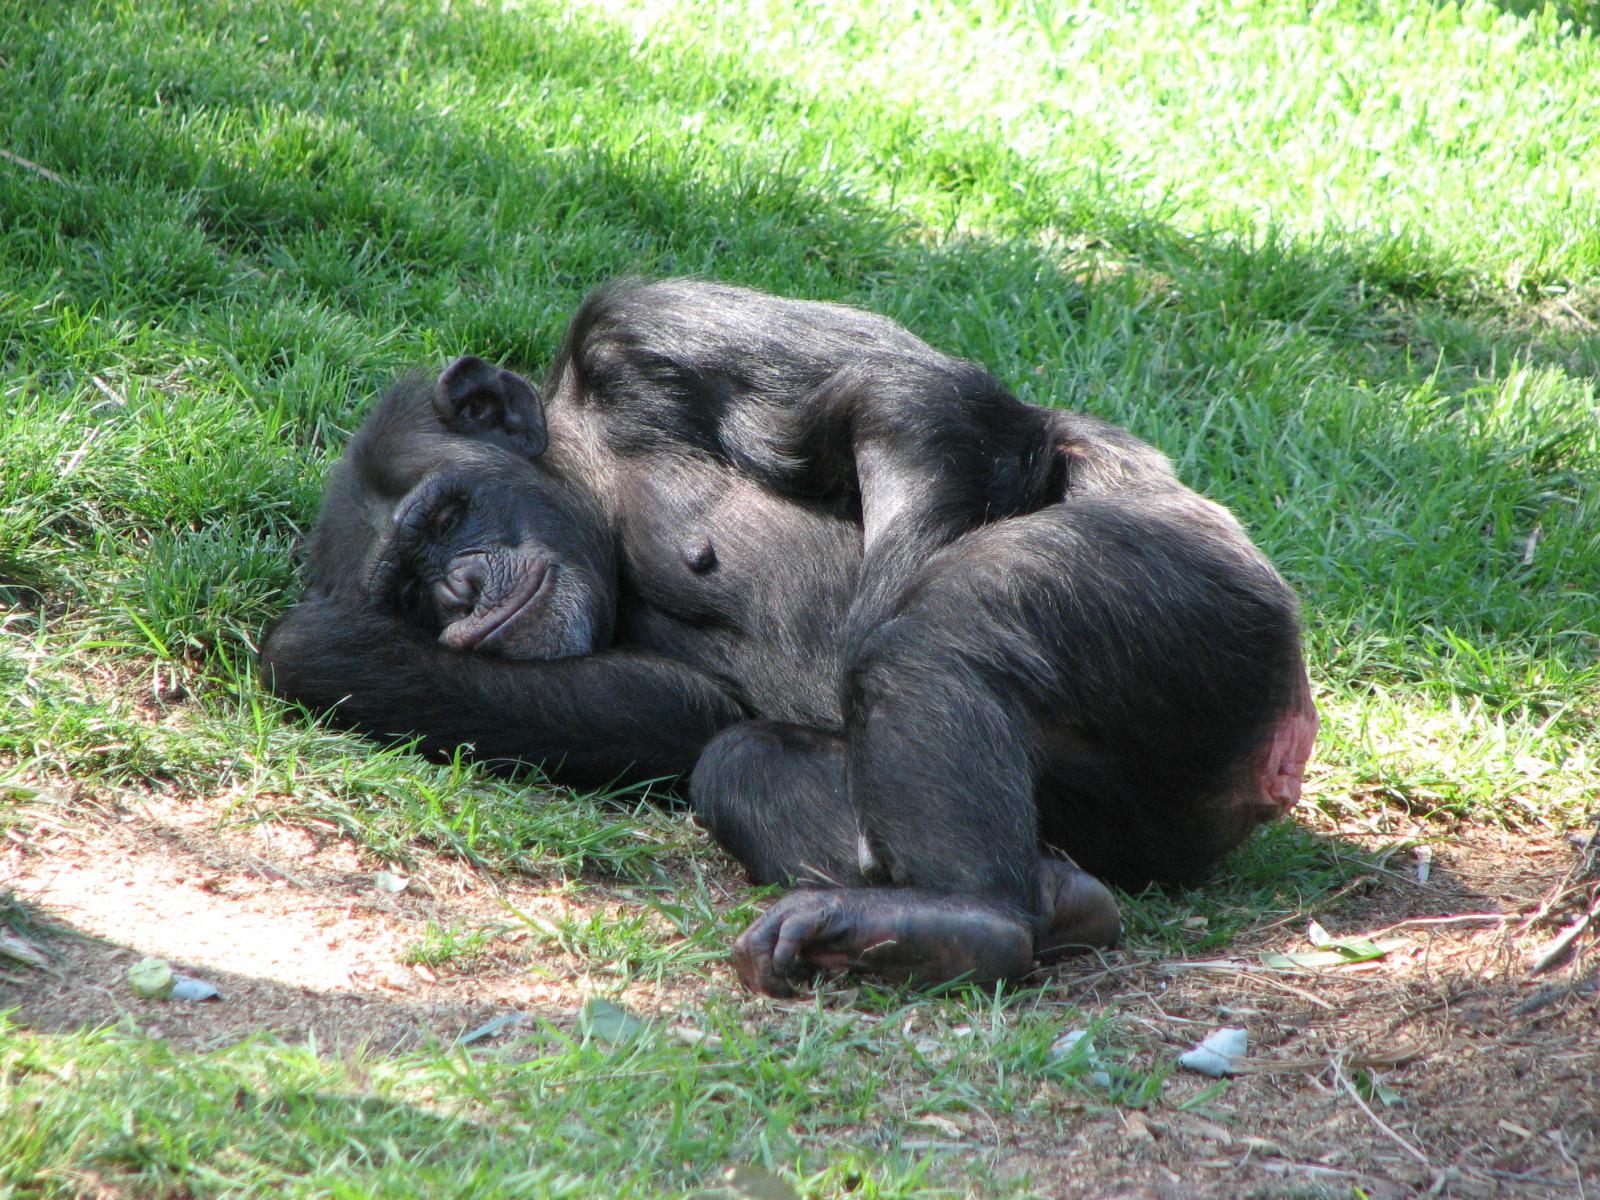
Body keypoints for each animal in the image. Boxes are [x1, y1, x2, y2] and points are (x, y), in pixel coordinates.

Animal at [256, 280, 1318, 998]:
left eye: (446, 516)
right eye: (407, 590)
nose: (459, 588)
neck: (596, 479)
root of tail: (1267, 759)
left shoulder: (646, 328)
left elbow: (905, 401)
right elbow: (682, 715)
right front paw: (312, 643)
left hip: (1200, 601)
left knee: (943, 636)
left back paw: (966, 916)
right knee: (747, 760)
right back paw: (1013, 908)